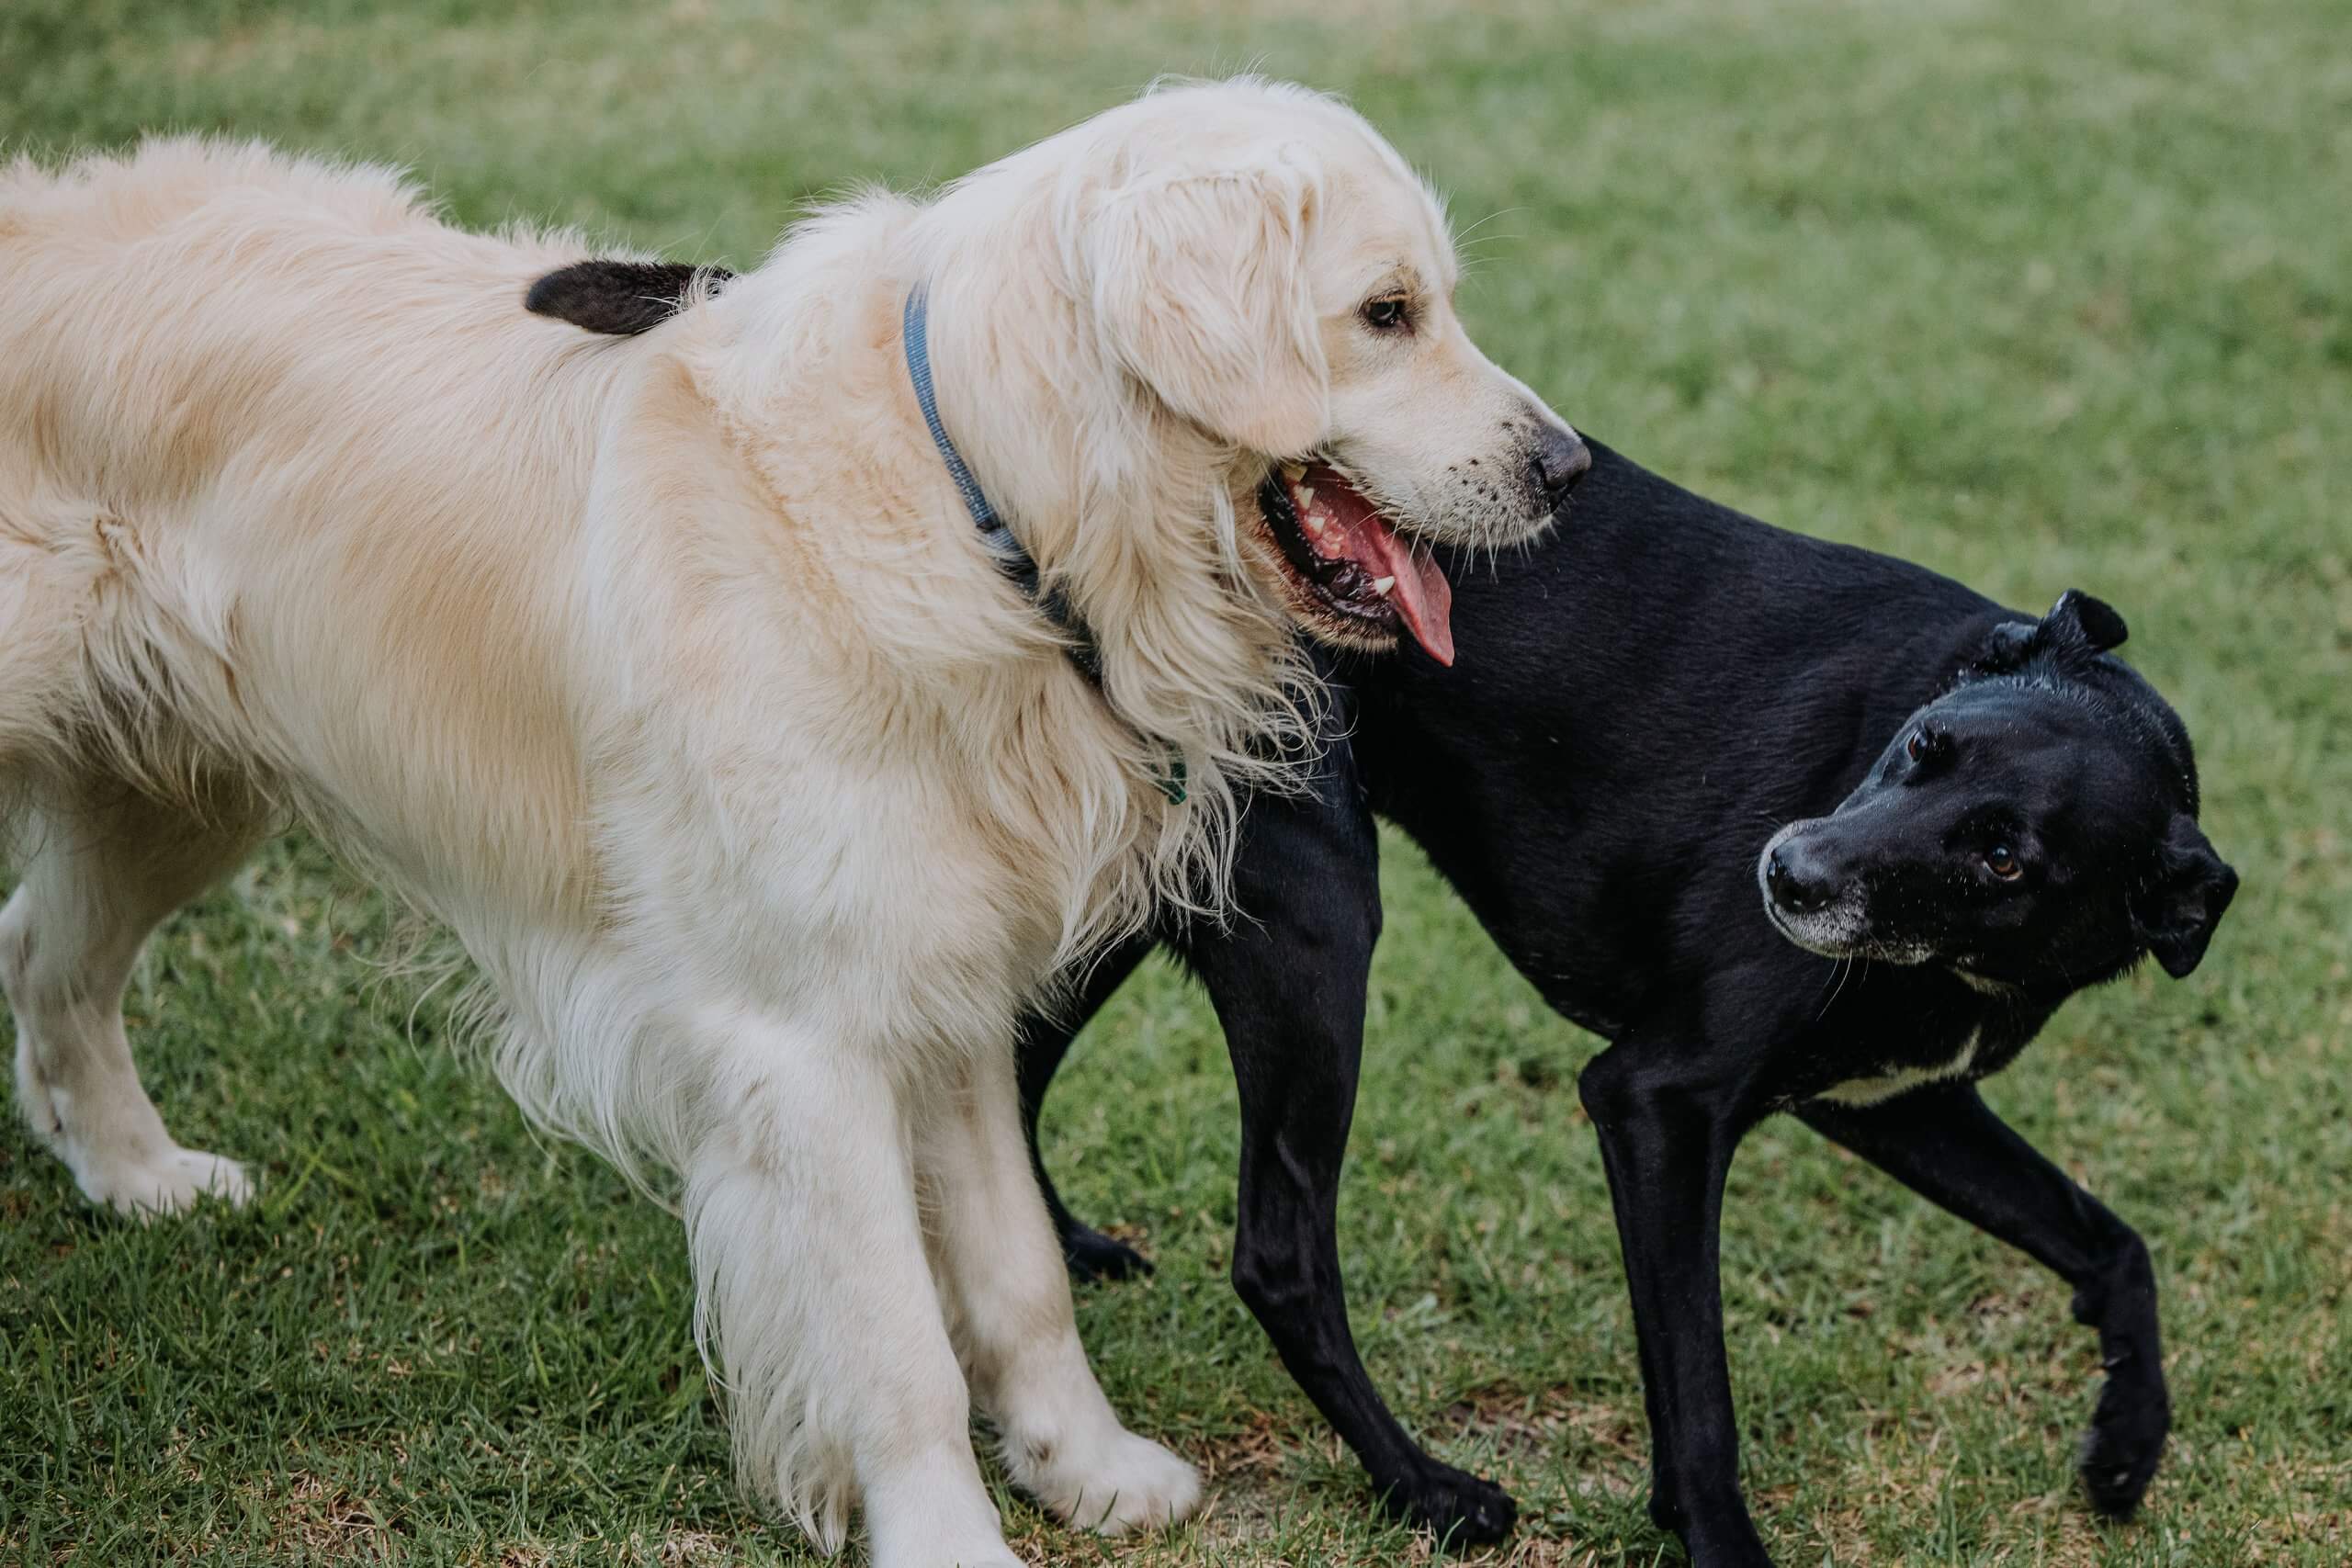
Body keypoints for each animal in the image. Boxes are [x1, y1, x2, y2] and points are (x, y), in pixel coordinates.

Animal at [0, 80, 1584, 1567]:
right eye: (1387, 312)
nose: (1566, 469)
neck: (982, 510)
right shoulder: (808, 1041)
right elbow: (894, 1345)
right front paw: (949, 1533)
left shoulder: (946, 995)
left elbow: (1019, 1271)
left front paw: (1084, 1463)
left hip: (175, 781)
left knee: (45, 952)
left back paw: (139, 1177)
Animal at [1014, 440, 2237, 1563]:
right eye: (1922, 745)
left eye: (2003, 855)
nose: (1786, 872)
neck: (1958, 968)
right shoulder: (1658, 1104)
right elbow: (1695, 1392)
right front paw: (1718, 1543)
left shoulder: (1894, 1101)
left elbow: (2109, 1241)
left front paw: (2128, 1443)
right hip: (1314, 920)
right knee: (1277, 1258)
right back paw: (1425, 1490)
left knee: (1013, 1071)